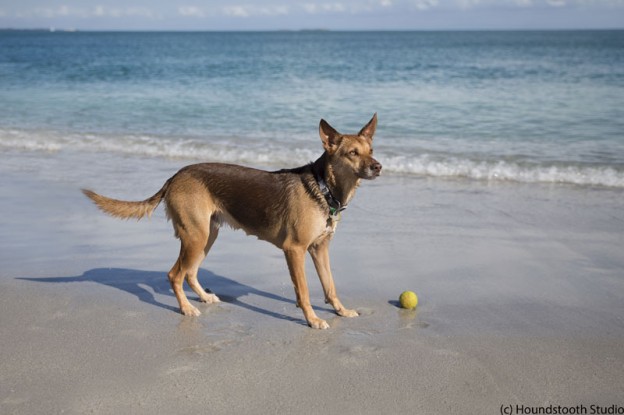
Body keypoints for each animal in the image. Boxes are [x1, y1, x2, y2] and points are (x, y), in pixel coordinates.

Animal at [83, 115, 380, 330]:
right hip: (196, 236)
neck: (323, 187)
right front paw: (313, 320)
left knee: (189, 272)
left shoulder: (320, 249)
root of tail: (175, 176)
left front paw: (341, 310)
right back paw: (186, 308)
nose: (378, 166)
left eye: (371, 150)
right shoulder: (295, 250)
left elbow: (330, 286)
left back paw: (203, 297)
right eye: (353, 153)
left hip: (207, 235)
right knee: (174, 274)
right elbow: (305, 292)